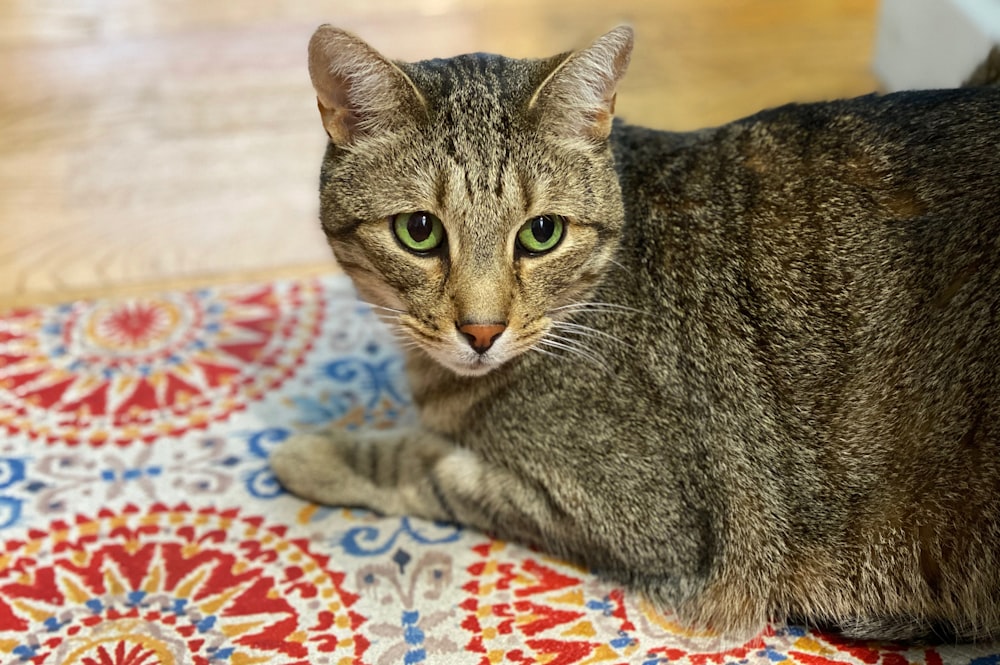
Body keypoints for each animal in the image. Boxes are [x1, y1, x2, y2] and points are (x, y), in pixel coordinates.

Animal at [272, 26, 1000, 644]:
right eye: (418, 231)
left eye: (542, 233)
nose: (482, 330)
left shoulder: (642, 516)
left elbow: (430, 465)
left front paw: (316, 453)